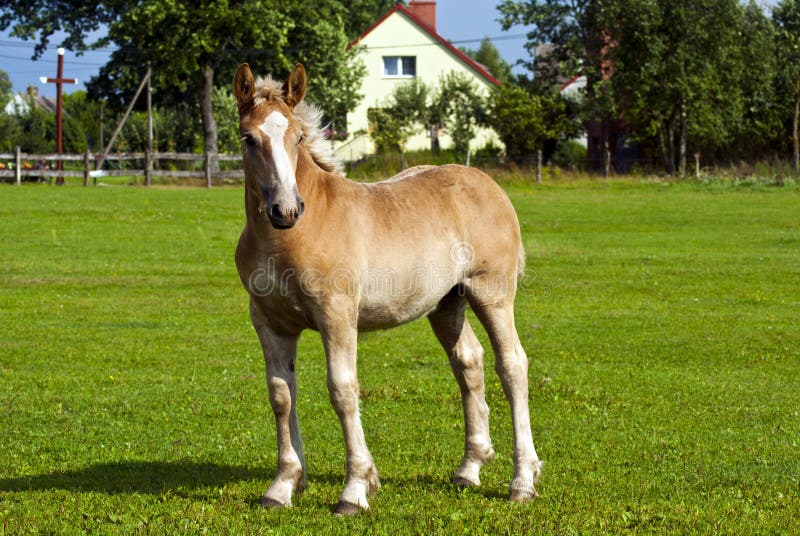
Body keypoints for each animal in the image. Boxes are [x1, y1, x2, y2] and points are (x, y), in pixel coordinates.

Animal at [233, 63, 544, 516]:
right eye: (248, 138)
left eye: (298, 137)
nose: (285, 210)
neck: (292, 237)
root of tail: (488, 184)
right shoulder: (270, 323)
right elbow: (281, 395)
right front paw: (284, 485)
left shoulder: (337, 315)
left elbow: (342, 390)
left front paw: (355, 489)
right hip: (446, 304)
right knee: (469, 361)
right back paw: (470, 467)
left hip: (492, 294)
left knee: (513, 366)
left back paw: (522, 480)